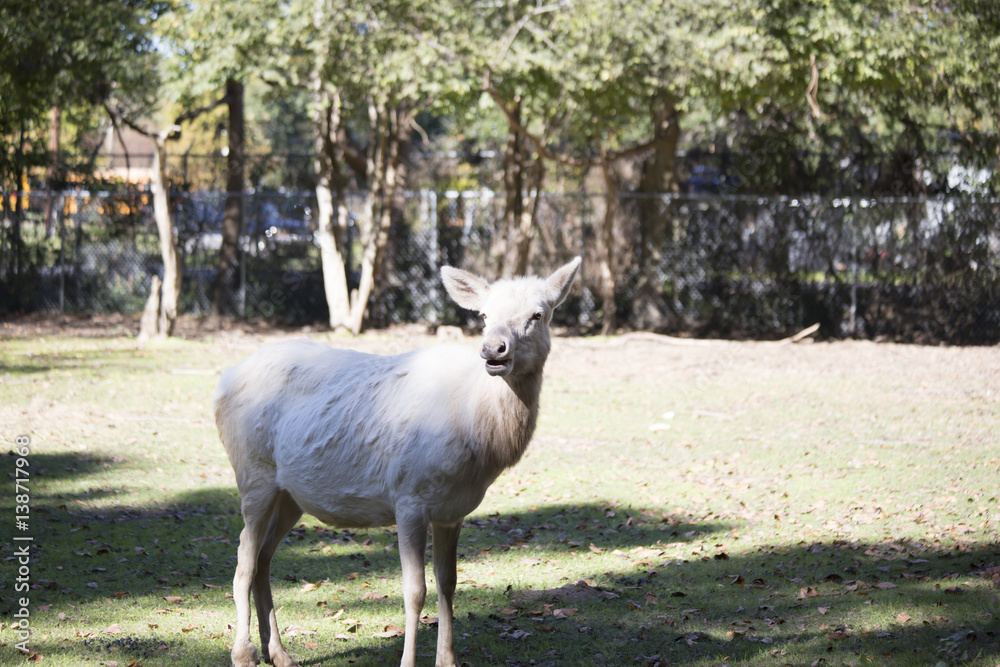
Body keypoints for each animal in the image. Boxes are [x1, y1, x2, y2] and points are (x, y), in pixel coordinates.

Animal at [214, 257, 581, 667]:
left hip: (291, 494)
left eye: (538, 314)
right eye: (484, 315)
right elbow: (414, 589)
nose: (493, 349)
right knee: (244, 560)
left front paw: (448, 660)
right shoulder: (409, 497)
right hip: (253, 471)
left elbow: (449, 582)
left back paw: (279, 653)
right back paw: (244, 653)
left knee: (263, 559)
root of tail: (222, 383)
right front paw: (409, 661)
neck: (474, 435)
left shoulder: (453, 510)